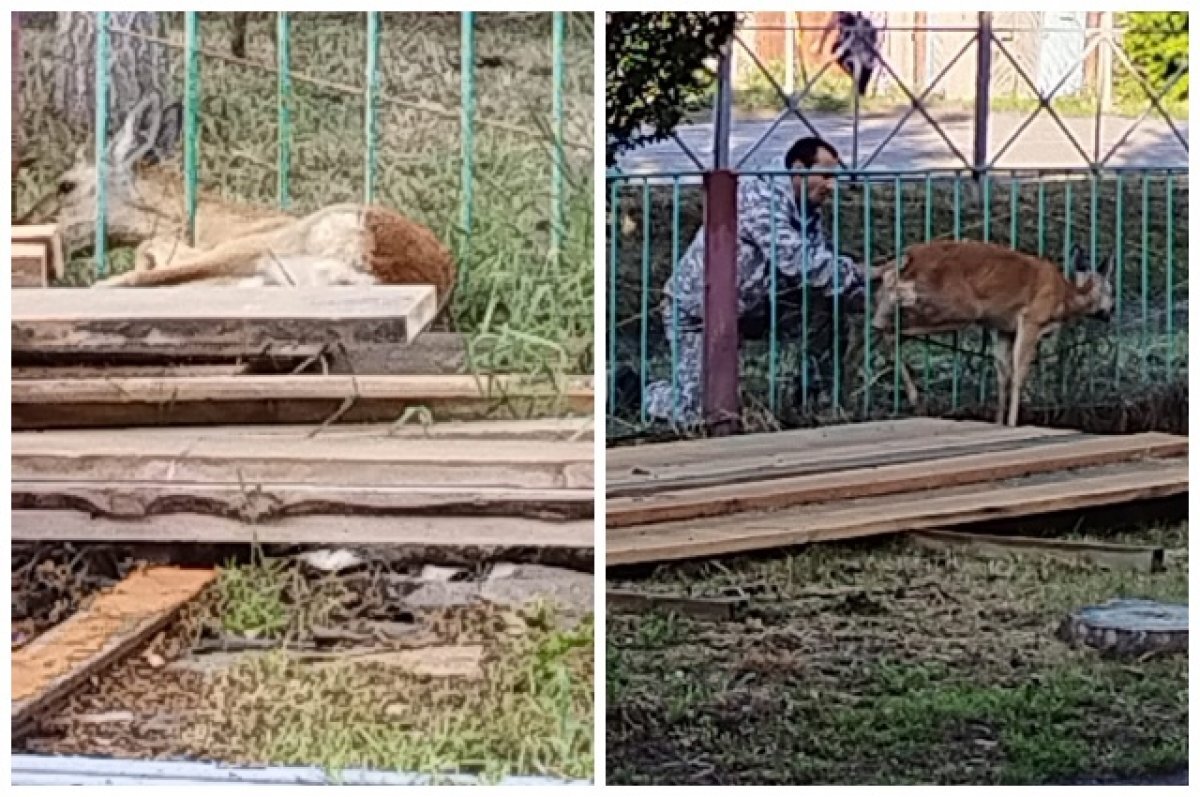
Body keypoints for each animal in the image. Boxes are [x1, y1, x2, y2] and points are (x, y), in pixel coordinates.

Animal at [864, 240, 1113, 427]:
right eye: (1111, 290)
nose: (1110, 312)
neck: (1065, 298)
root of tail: (907, 257)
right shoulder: (1032, 318)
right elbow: (1019, 372)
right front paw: (1012, 423)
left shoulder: (1002, 328)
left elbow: (1003, 374)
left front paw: (999, 421)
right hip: (958, 307)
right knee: (891, 325)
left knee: (888, 325)